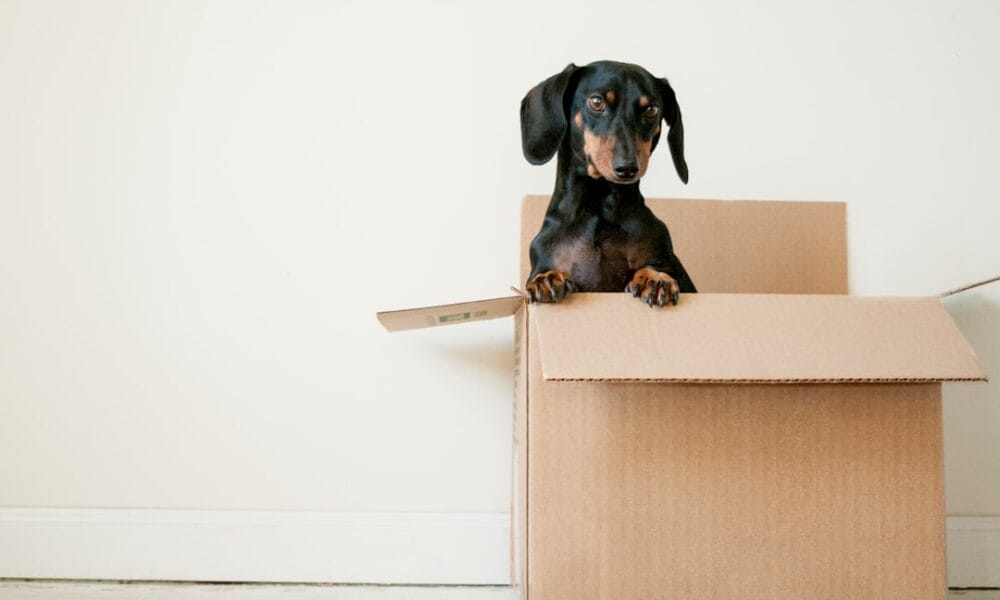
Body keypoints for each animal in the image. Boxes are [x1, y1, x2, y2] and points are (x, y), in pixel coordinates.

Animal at [524, 61, 696, 308]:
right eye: (597, 102)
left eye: (651, 110)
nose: (627, 168)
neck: (599, 206)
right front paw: (547, 278)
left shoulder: (667, 261)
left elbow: (655, 267)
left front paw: (654, 278)